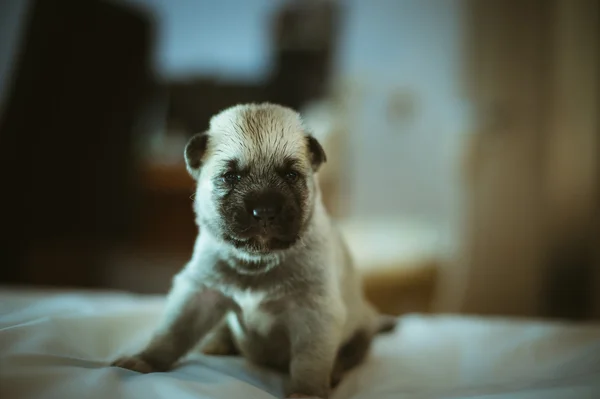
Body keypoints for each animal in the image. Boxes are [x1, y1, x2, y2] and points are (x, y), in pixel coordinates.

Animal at [112, 104, 394, 399]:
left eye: (291, 175)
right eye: (230, 176)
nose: (265, 211)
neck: (257, 260)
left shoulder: (314, 313)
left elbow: (309, 361)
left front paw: (306, 392)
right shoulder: (199, 294)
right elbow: (172, 332)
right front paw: (145, 359)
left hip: (360, 332)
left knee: (352, 353)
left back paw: (337, 369)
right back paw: (218, 343)